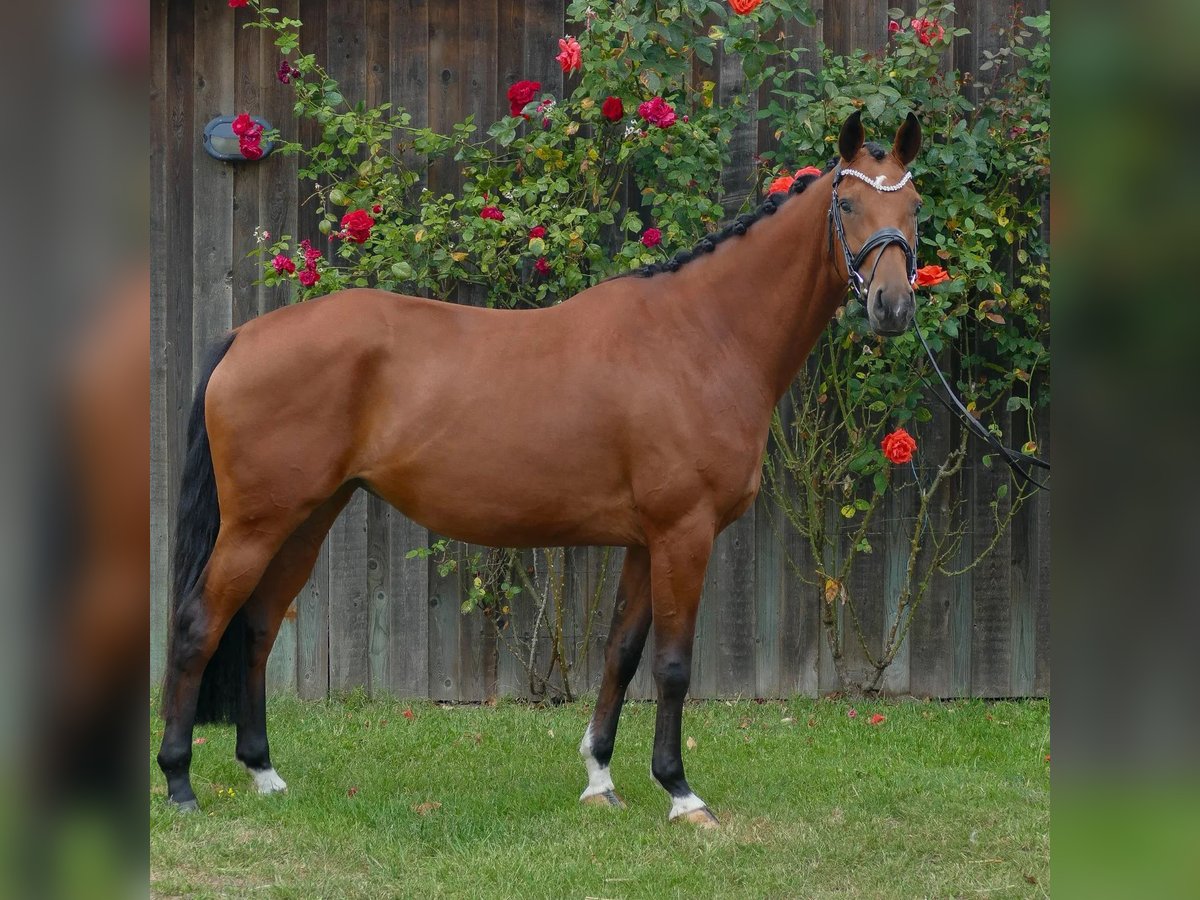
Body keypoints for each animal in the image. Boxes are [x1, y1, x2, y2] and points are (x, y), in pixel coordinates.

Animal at [154, 109, 916, 830]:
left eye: (913, 207)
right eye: (848, 204)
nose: (893, 307)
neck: (700, 337)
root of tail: (243, 337)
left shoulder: (645, 542)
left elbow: (621, 653)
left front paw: (601, 779)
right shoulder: (684, 533)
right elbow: (671, 666)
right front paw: (680, 793)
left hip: (307, 519)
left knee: (257, 626)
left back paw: (263, 774)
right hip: (257, 524)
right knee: (199, 625)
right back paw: (180, 783)